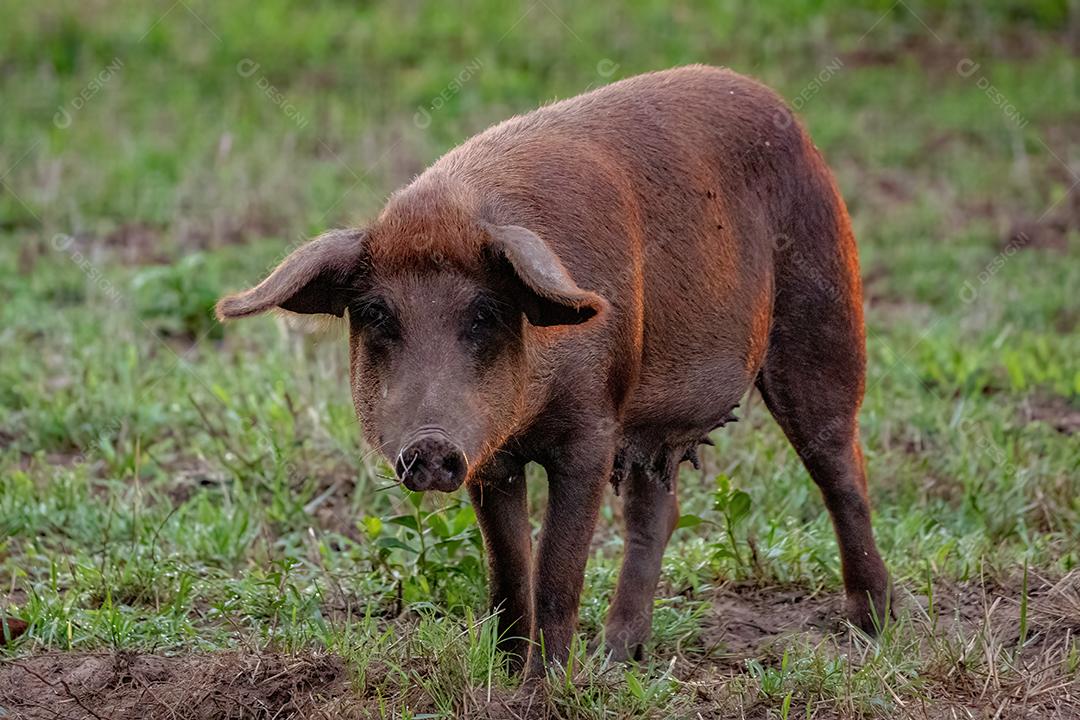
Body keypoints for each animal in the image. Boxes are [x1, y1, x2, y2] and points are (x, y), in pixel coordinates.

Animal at [217, 63, 894, 677]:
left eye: (485, 313)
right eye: (377, 314)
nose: (430, 447)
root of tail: (787, 114)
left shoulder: (593, 428)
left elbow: (558, 569)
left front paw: (544, 685)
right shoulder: (490, 451)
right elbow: (508, 571)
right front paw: (505, 673)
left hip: (825, 310)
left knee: (842, 468)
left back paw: (877, 628)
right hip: (650, 420)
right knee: (658, 512)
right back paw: (618, 659)